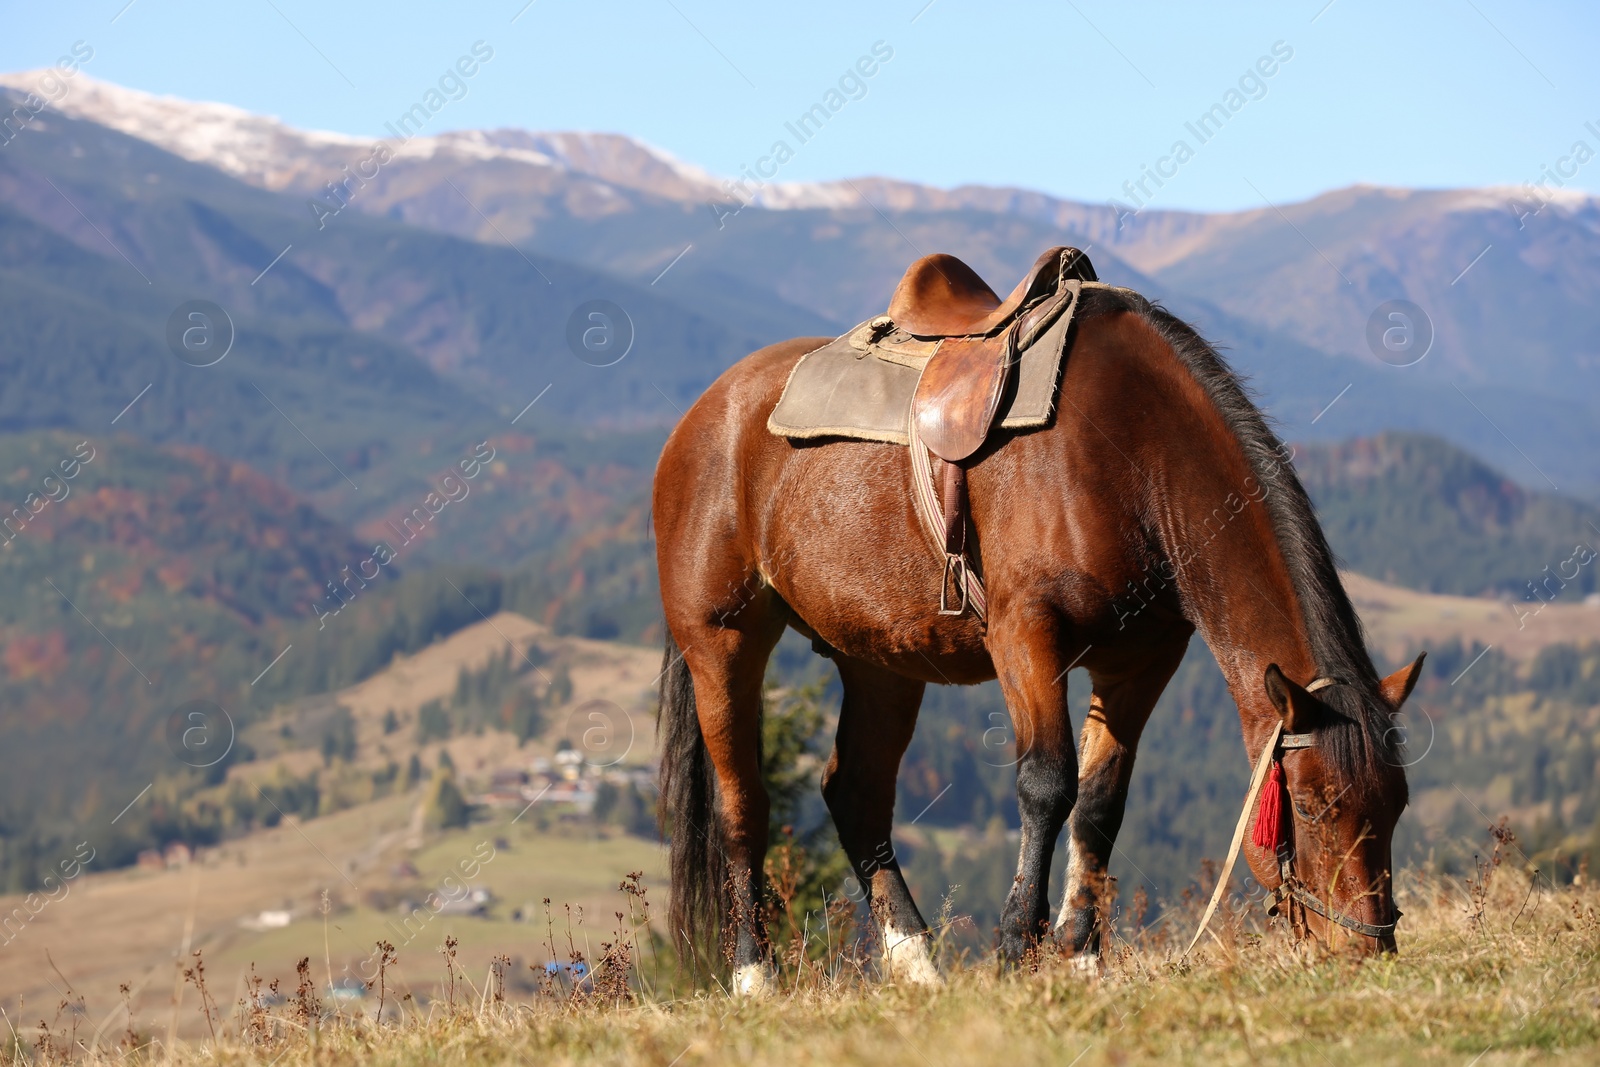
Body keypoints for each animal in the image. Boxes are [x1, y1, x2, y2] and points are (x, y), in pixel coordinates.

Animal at [656, 278, 1420, 991]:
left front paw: (1082, 956)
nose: (1368, 947)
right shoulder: (1025, 635)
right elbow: (1048, 784)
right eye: (1313, 805)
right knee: (742, 804)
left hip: (881, 663)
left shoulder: (1141, 661)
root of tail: (704, 413)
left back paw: (916, 964)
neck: (1135, 453)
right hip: (722, 642)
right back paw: (754, 973)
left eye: (1398, 803)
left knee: (857, 795)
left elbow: (1100, 803)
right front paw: (1016, 948)